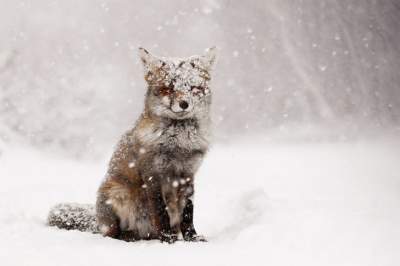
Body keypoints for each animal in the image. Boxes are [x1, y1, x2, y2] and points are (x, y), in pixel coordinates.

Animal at [48, 46, 217, 243]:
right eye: (168, 88)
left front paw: (192, 237)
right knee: (112, 234)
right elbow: (160, 211)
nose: (184, 104)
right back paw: (130, 236)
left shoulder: (188, 174)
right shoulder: (153, 173)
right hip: (117, 195)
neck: (178, 144)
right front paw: (167, 238)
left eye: (194, 88)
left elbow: (188, 212)